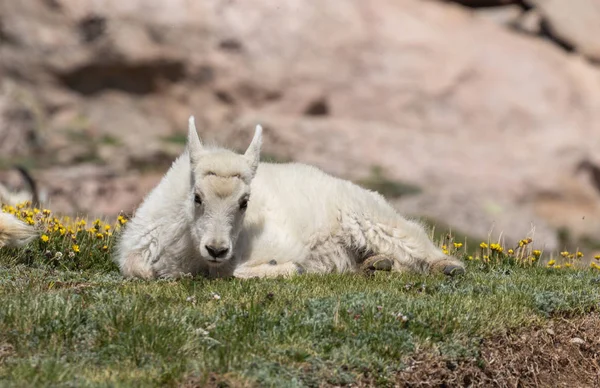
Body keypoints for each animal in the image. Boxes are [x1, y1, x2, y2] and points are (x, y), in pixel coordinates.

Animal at [116, 116, 464, 278]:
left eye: (244, 202)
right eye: (197, 197)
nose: (216, 249)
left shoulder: (276, 244)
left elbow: (239, 270)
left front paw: (285, 269)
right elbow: (139, 269)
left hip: (369, 216)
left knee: (412, 236)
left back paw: (447, 266)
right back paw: (376, 264)